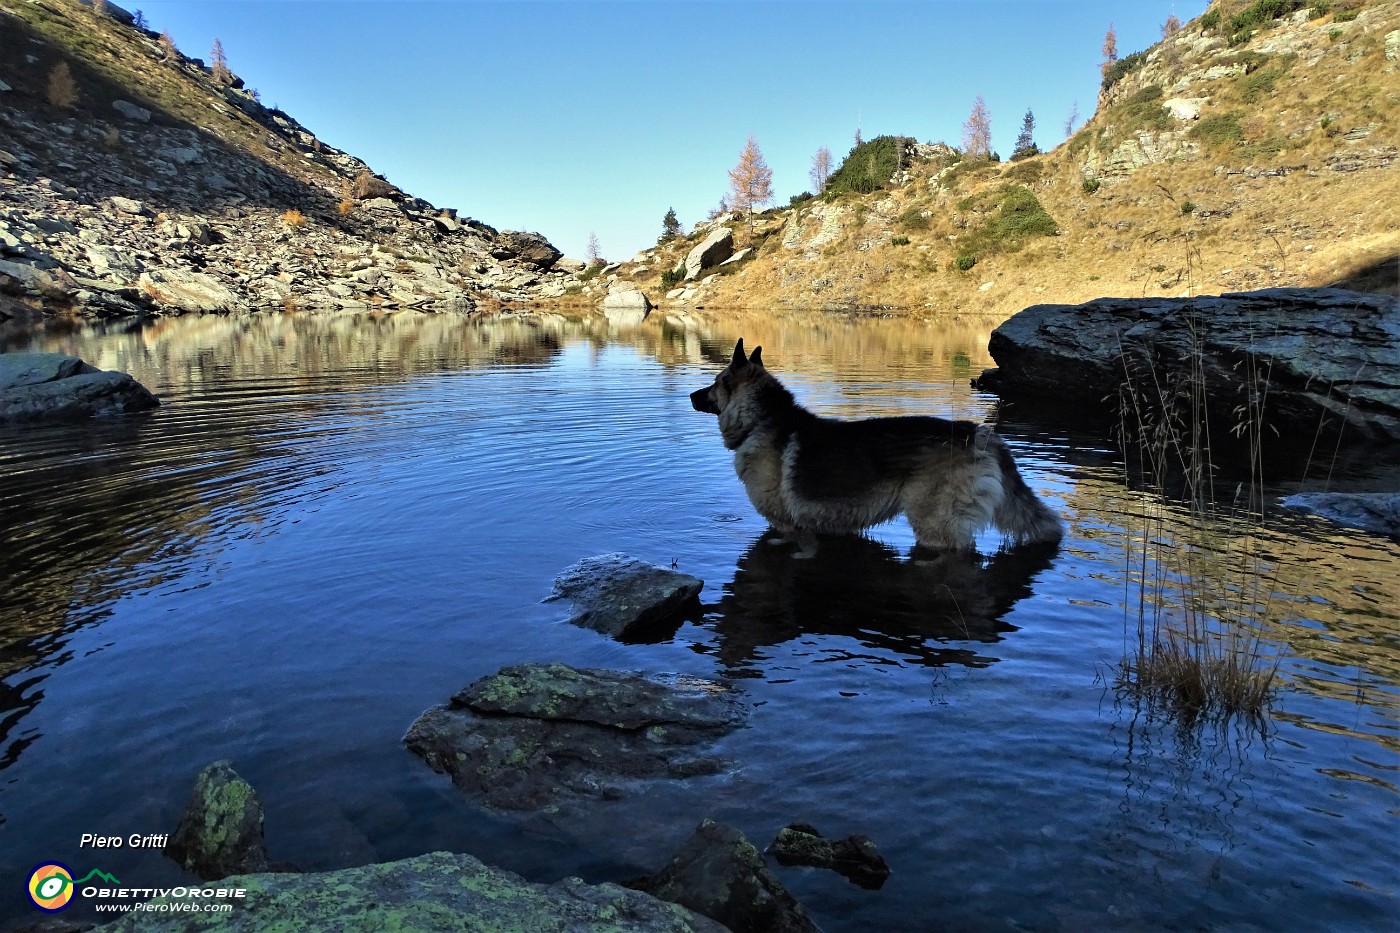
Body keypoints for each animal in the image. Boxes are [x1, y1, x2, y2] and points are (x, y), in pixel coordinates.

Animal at [688, 336, 1058, 549]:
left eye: (716, 382)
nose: (691, 396)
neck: (761, 419)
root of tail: (978, 435)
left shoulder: (789, 529)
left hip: (935, 527)